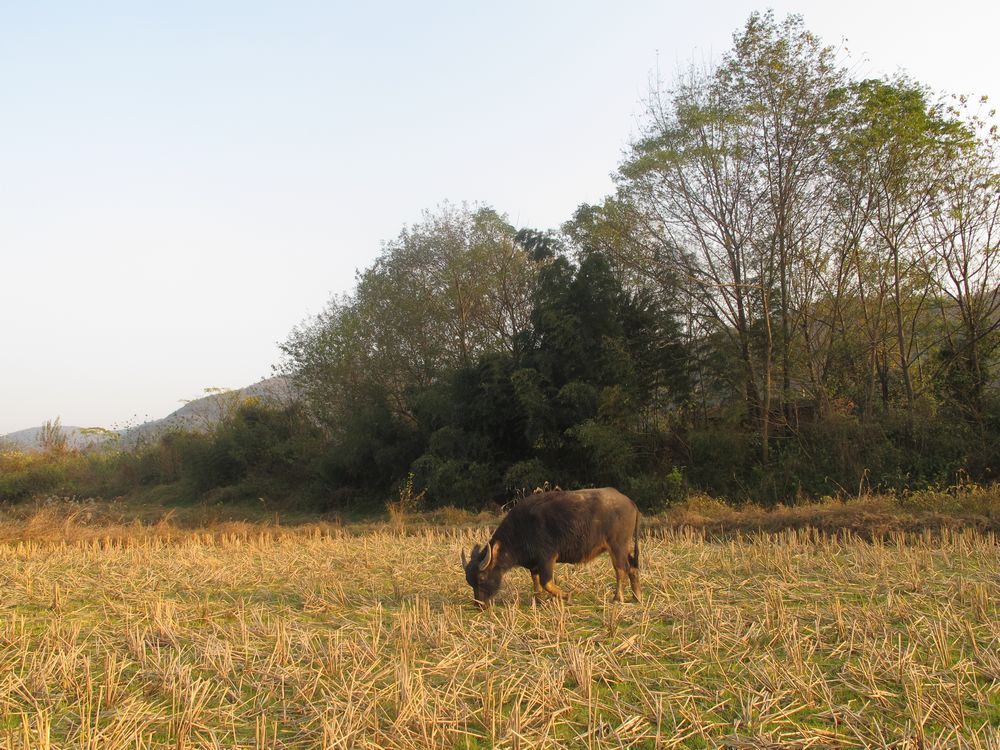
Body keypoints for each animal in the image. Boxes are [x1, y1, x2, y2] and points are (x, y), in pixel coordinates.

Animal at [460, 490, 640, 608]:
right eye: (470, 582)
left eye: (481, 578)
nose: (479, 605)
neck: (521, 530)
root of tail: (631, 502)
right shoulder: (534, 564)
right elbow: (536, 581)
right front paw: (538, 600)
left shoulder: (547, 557)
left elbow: (546, 582)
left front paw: (567, 595)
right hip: (624, 547)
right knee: (632, 567)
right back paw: (636, 596)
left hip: (617, 545)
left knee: (621, 569)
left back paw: (617, 598)